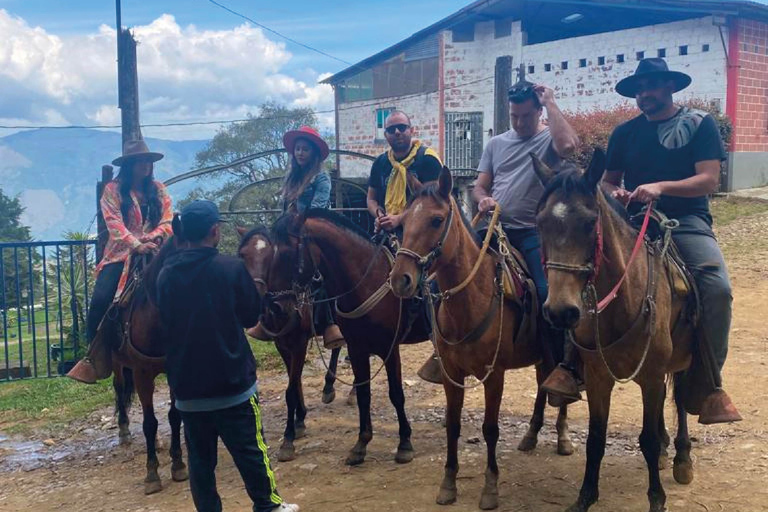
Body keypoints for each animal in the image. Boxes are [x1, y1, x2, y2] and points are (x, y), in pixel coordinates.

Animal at [237, 223, 352, 460]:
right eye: (243, 255)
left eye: (272, 257)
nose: (255, 295)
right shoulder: (282, 344)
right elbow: (295, 380)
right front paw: (300, 420)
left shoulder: (299, 344)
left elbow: (290, 389)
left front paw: (288, 439)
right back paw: (328, 387)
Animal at [390, 168, 568, 508]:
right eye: (403, 222)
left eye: (436, 220)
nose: (399, 280)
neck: (472, 299)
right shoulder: (452, 374)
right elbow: (453, 425)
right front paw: (448, 483)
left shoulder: (493, 375)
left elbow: (490, 429)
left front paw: (490, 487)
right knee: (543, 383)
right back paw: (531, 435)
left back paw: (563, 437)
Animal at [532, 149, 692, 512]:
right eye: (541, 223)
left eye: (590, 223)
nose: (561, 311)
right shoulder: (597, 378)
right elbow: (595, 438)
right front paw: (585, 496)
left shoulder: (651, 375)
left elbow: (647, 439)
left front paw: (656, 497)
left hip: (680, 360)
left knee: (680, 398)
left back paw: (681, 457)